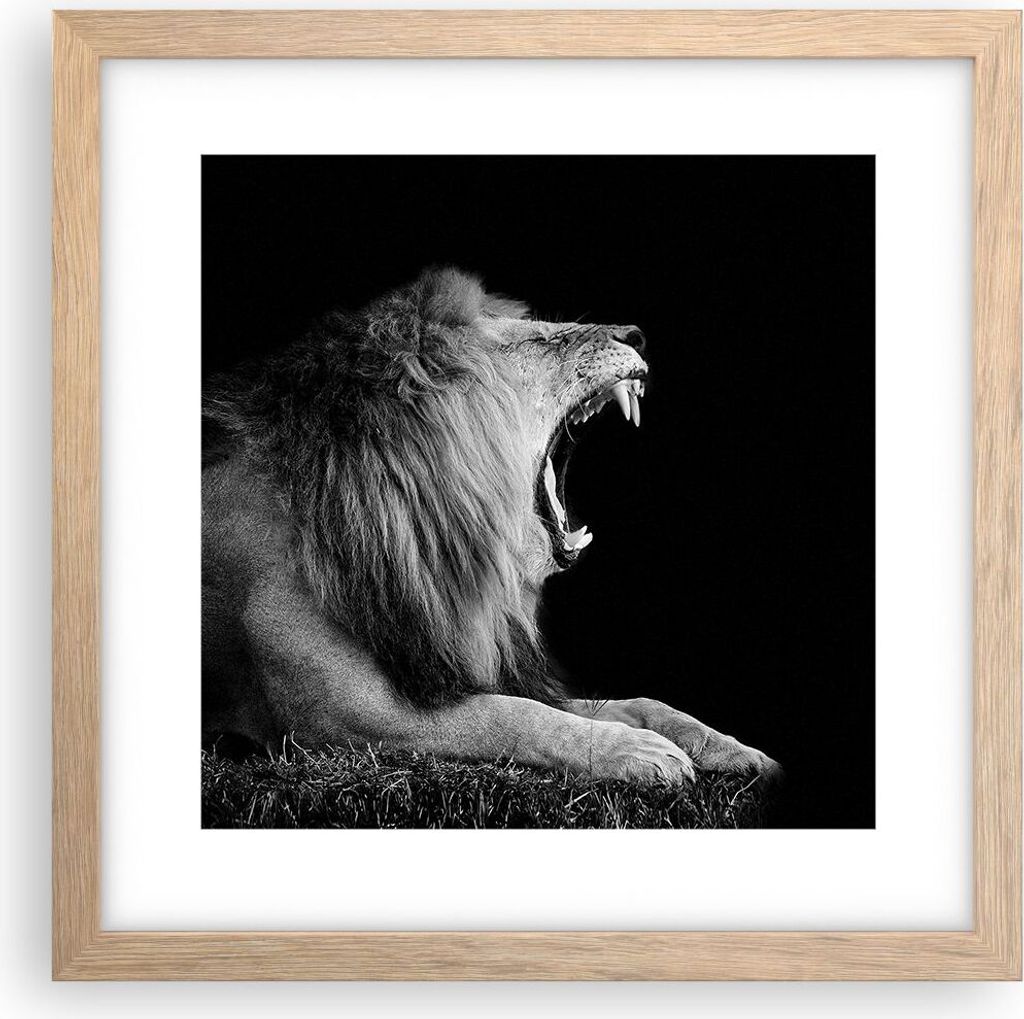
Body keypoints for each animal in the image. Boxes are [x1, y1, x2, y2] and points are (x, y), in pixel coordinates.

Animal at [202, 267, 779, 786]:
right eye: (537, 340)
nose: (636, 335)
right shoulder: (337, 717)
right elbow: (512, 717)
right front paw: (639, 752)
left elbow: (633, 701)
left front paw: (732, 748)